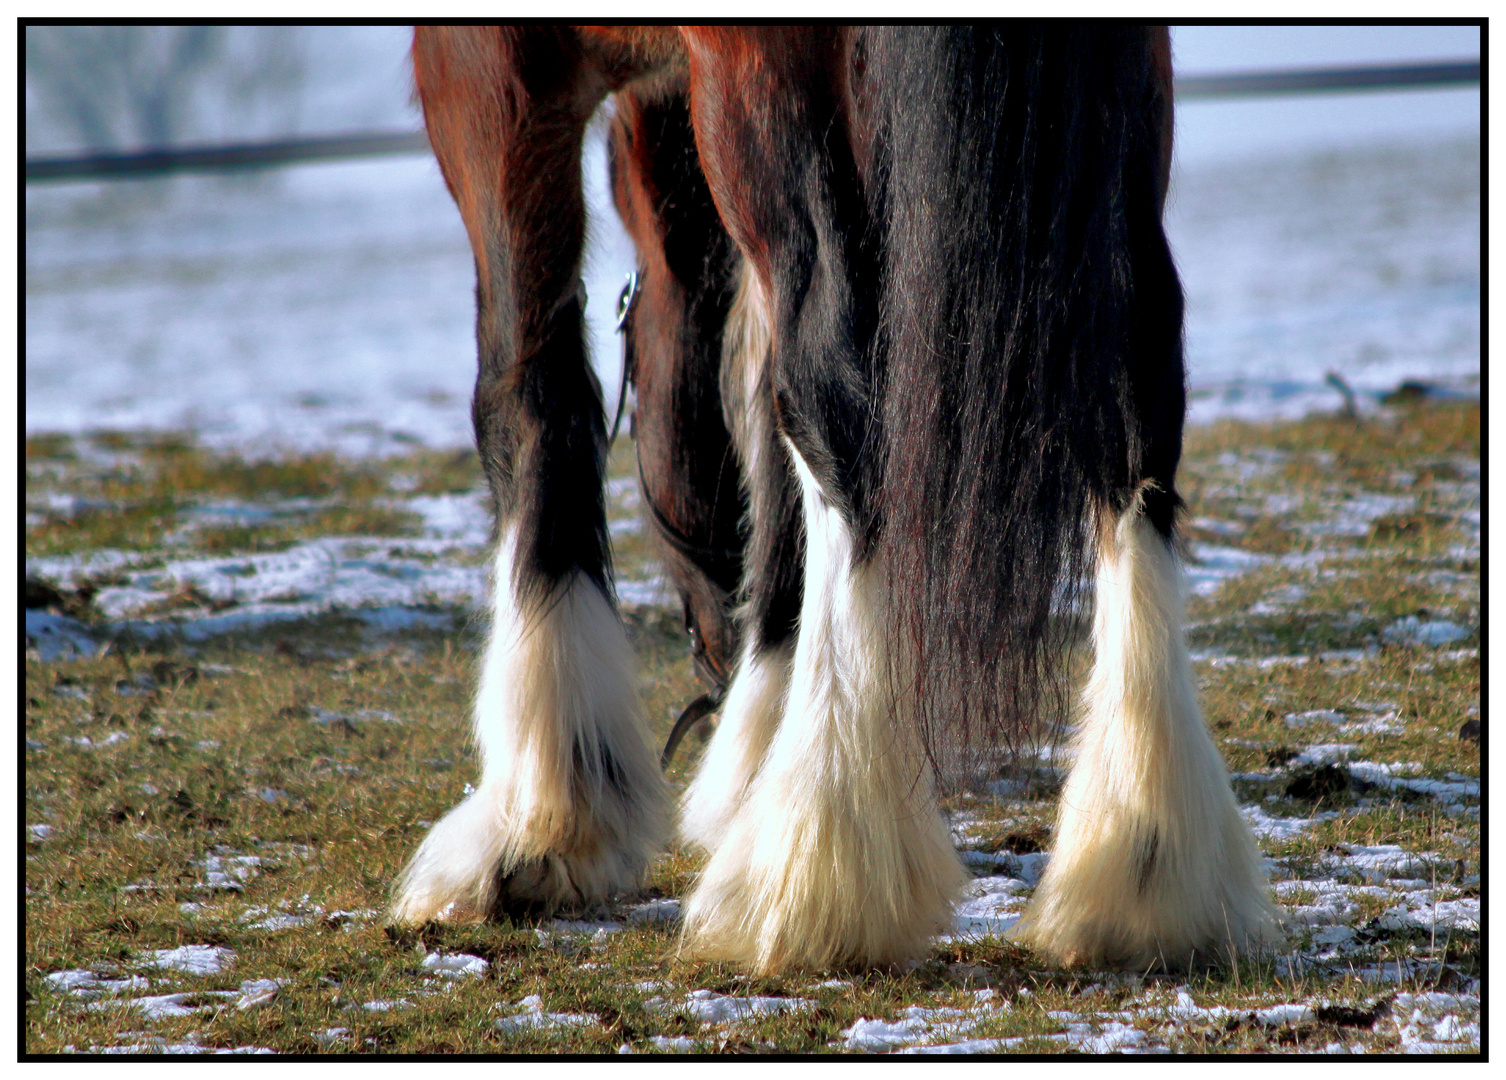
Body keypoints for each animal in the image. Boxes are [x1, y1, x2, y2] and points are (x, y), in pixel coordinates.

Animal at [391, 25, 1283, 976]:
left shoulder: (490, 72)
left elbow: (525, 379)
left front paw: (542, 821)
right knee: (1136, 390)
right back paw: (1144, 867)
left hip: (768, 76)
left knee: (834, 384)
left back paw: (817, 861)